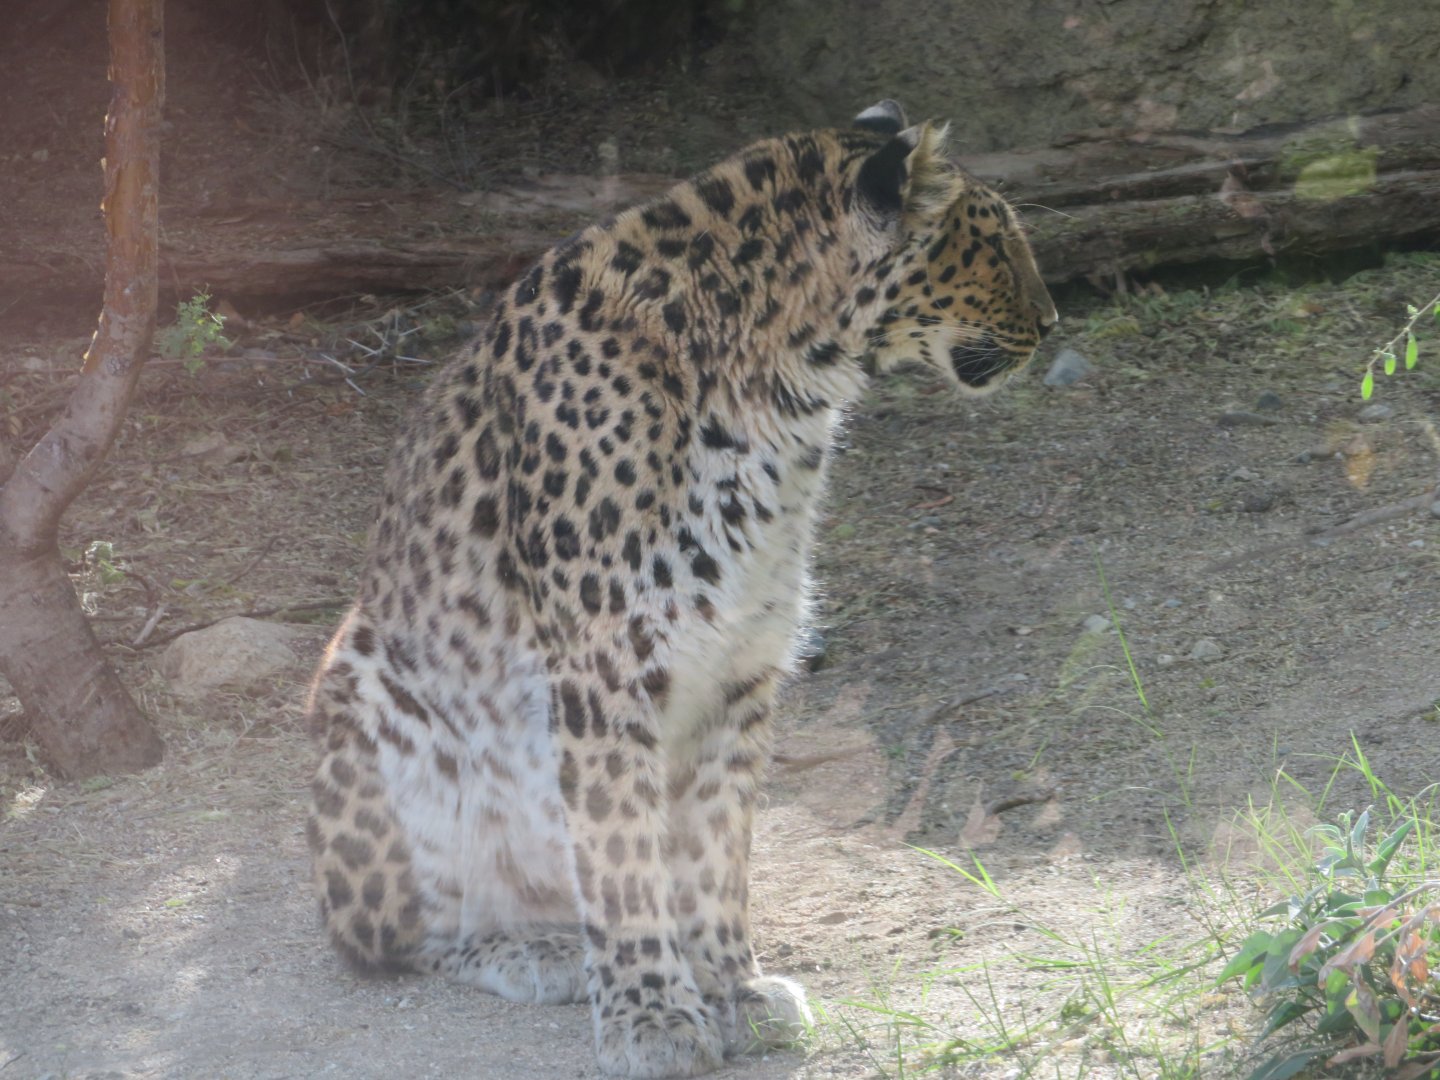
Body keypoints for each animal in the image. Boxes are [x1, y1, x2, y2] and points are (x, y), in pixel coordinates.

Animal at [307, 99, 1056, 1078]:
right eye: (995, 242)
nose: (1053, 321)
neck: (783, 397)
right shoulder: (603, 663)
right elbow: (622, 850)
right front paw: (652, 1015)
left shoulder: (742, 657)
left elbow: (716, 847)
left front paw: (734, 986)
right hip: (366, 692)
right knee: (395, 934)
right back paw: (537, 950)